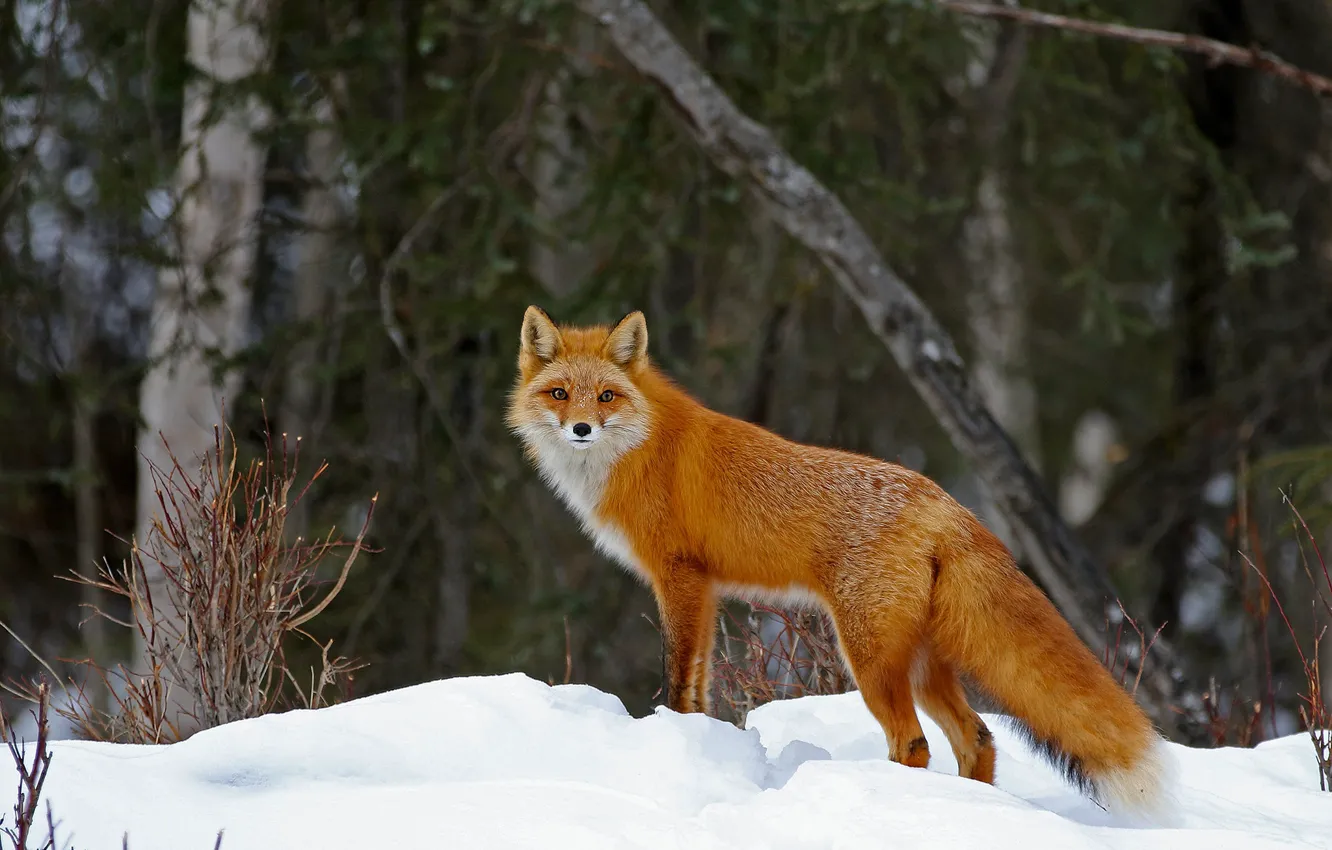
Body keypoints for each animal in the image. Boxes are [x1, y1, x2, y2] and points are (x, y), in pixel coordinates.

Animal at [503, 305, 1172, 820]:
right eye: (559, 394)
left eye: (606, 396)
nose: (582, 428)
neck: (641, 450)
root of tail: (945, 503)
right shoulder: (708, 589)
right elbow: (701, 685)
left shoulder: (679, 577)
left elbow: (677, 678)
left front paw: (672, 735)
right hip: (922, 662)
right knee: (978, 738)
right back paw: (971, 811)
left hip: (870, 657)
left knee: (914, 743)